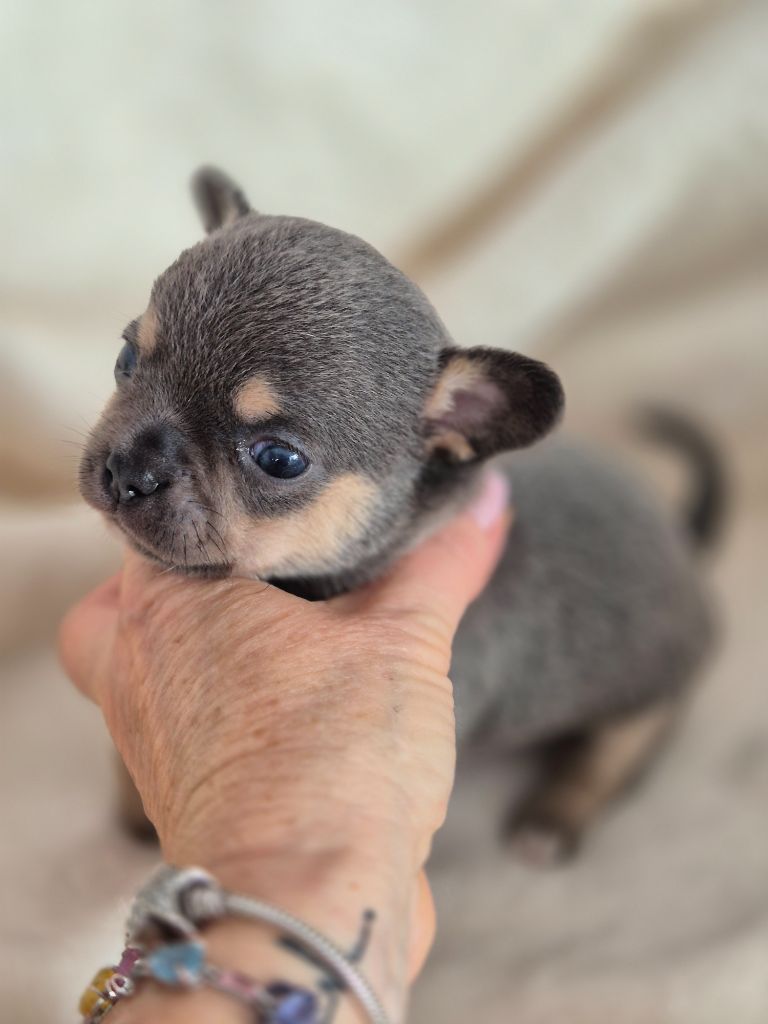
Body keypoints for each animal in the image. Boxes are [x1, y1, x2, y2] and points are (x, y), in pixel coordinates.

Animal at [79, 168, 722, 863]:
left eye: (279, 459)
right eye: (124, 361)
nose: (128, 472)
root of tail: (682, 539)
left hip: (648, 689)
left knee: (621, 747)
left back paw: (555, 816)